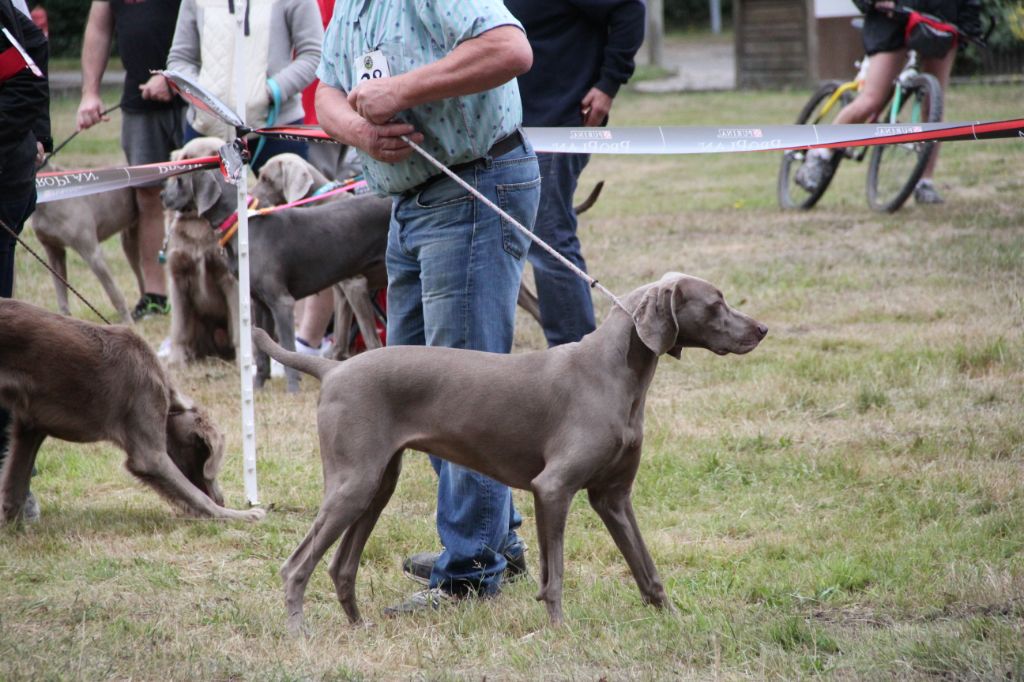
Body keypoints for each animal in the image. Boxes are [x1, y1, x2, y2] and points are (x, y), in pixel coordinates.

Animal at [253, 272, 770, 630]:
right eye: (716, 303)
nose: (763, 329)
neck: (615, 372)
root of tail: (332, 368)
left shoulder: (614, 497)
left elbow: (647, 568)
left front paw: (674, 618)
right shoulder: (553, 489)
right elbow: (553, 575)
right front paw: (559, 630)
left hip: (377, 485)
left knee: (341, 566)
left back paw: (359, 626)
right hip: (353, 483)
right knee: (295, 565)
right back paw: (299, 632)